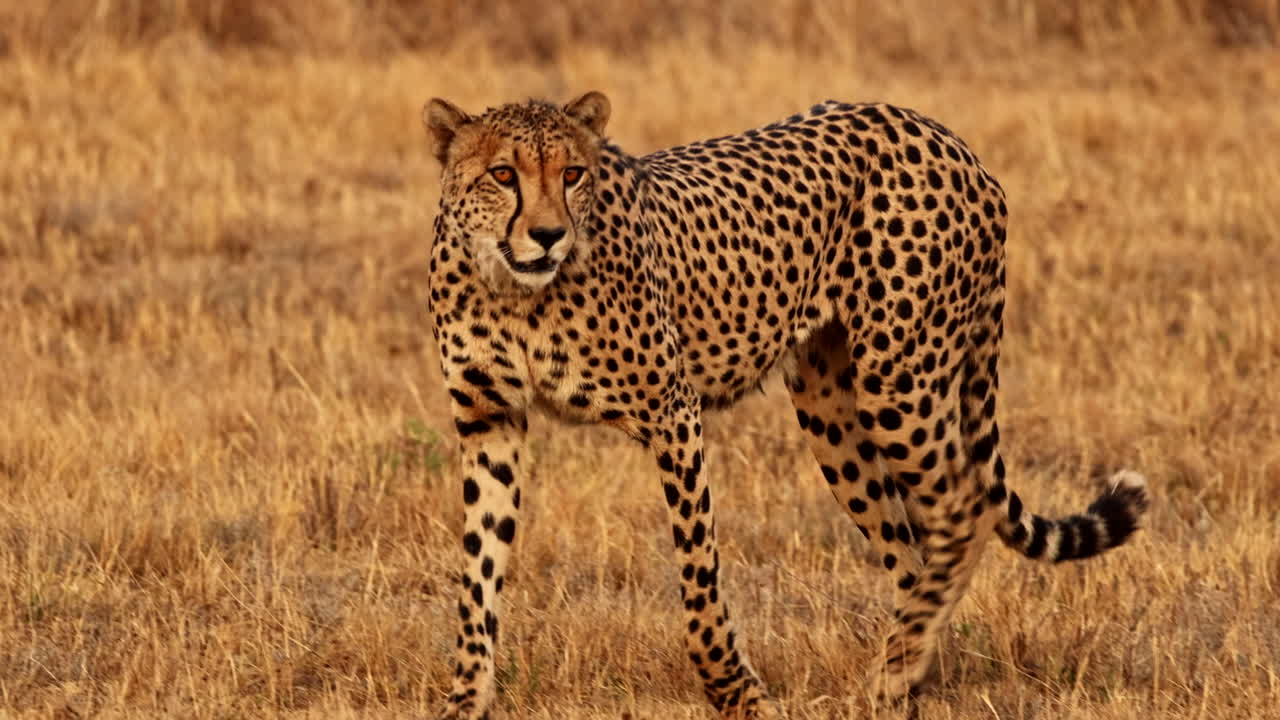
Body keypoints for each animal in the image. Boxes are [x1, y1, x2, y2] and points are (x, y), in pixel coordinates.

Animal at [422, 90, 1150, 719]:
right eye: (502, 175)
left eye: (572, 173)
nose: (548, 235)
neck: (513, 288)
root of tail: (942, 135)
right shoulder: (489, 421)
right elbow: (478, 570)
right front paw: (465, 698)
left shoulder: (673, 412)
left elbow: (699, 576)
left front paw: (738, 696)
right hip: (831, 408)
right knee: (913, 546)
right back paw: (909, 672)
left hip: (900, 381)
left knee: (965, 509)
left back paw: (890, 676)